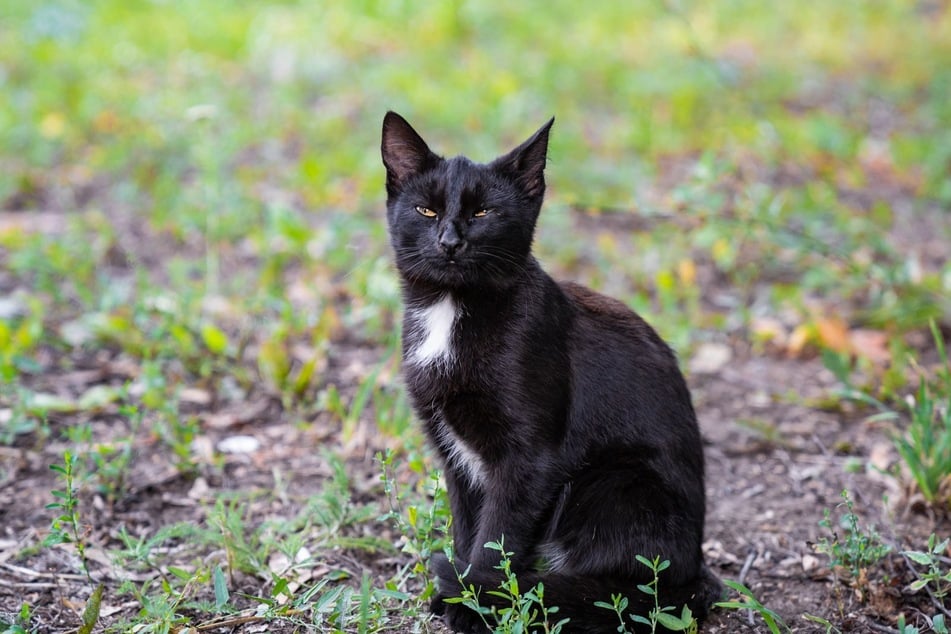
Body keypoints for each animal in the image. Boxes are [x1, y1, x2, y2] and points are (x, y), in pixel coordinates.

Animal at [380, 111, 720, 628]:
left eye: (483, 214)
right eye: (426, 211)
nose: (450, 241)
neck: (451, 309)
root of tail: (693, 571)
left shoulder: (531, 457)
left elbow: (496, 540)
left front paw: (478, 605)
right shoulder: (453, 453)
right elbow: (467, 527)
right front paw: (461, 595)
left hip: (613, 481)